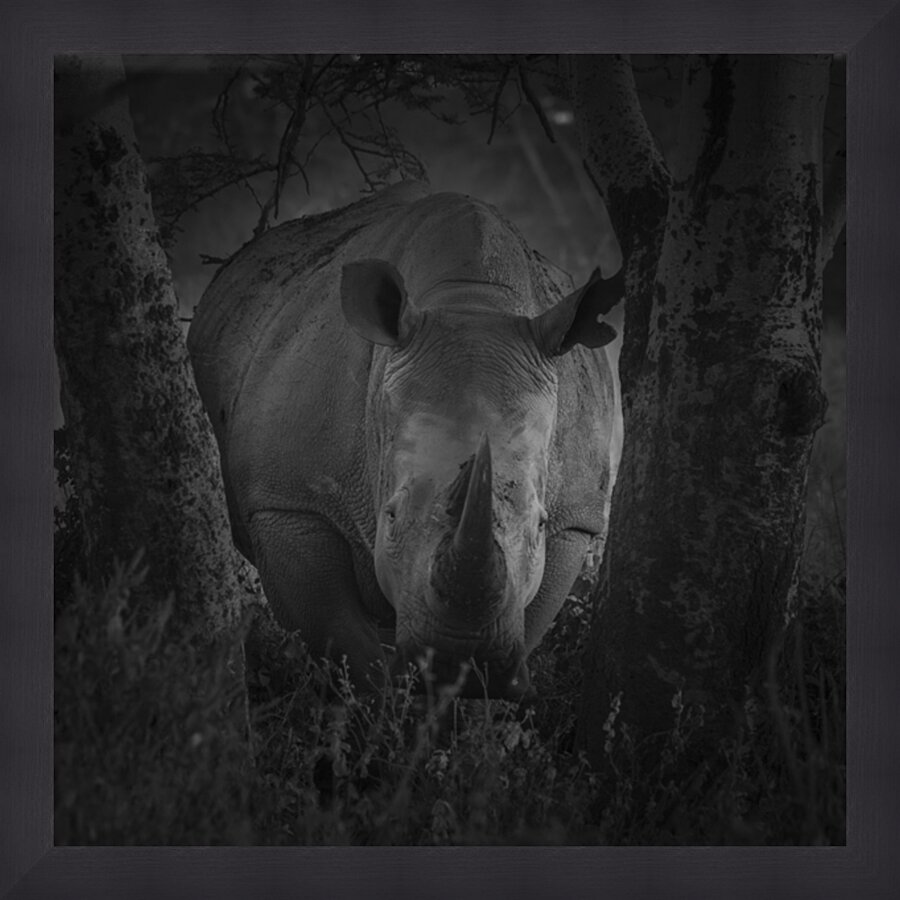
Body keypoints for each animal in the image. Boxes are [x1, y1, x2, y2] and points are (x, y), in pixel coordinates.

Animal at [188, 182, 621, 700]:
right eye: (390, 517)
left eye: (539, 524)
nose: (459, 661)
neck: (472, 300)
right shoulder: (286, 501)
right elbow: (340, 638)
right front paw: (388, 703)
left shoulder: (575, 518)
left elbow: (531, 617)